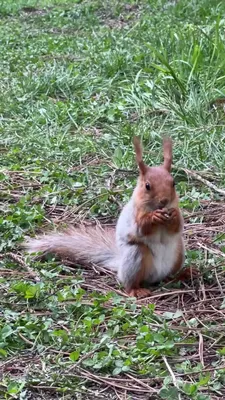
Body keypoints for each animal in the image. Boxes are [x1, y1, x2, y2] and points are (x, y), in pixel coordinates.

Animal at [24, 138, 197, 296]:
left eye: (173, 183)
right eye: (147, 186)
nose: (164, 201)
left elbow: (177, 226)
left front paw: (173, 215)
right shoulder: (134, 215)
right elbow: (141, 229)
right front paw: (154, 217)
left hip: (179, 252)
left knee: (170, 275)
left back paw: (182, 274)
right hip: (135, 256)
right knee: (130, 281)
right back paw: (136, 290)